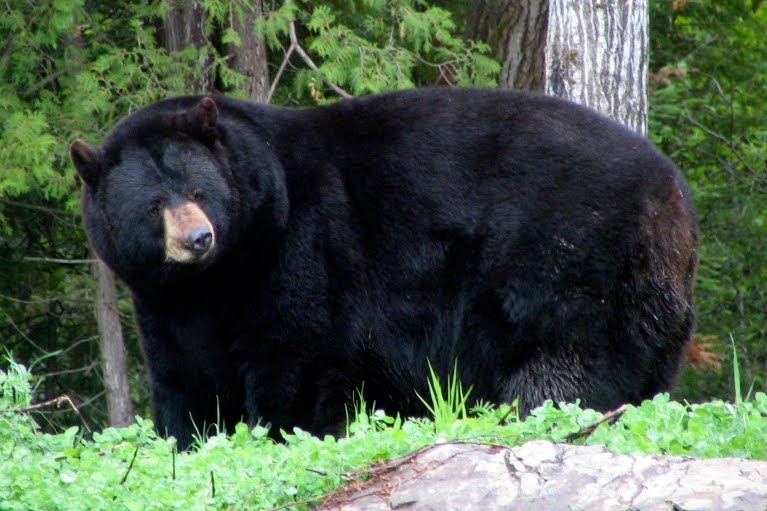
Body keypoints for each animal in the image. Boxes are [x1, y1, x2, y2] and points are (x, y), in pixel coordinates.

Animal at [70, 88, 698, 448]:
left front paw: (283, 431)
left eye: (199, 190)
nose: (199, 238)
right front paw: (190, 440)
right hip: (649, 297)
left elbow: (296, 353)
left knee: (565, 362)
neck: (223, 272)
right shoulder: (163, 302)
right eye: (154, 205)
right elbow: (184, 376)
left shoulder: (301, 247)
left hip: (568, 258)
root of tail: (671, 191)